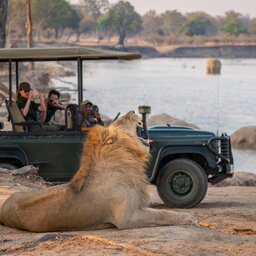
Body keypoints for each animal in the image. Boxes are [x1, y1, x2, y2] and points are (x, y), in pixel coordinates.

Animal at [0, 111, 196, 231]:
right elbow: (162, 214)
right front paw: (189, 219)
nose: (133, 111)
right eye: (123, 120)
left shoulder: (137, 207)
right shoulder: (126, 218)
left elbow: (162, 213)